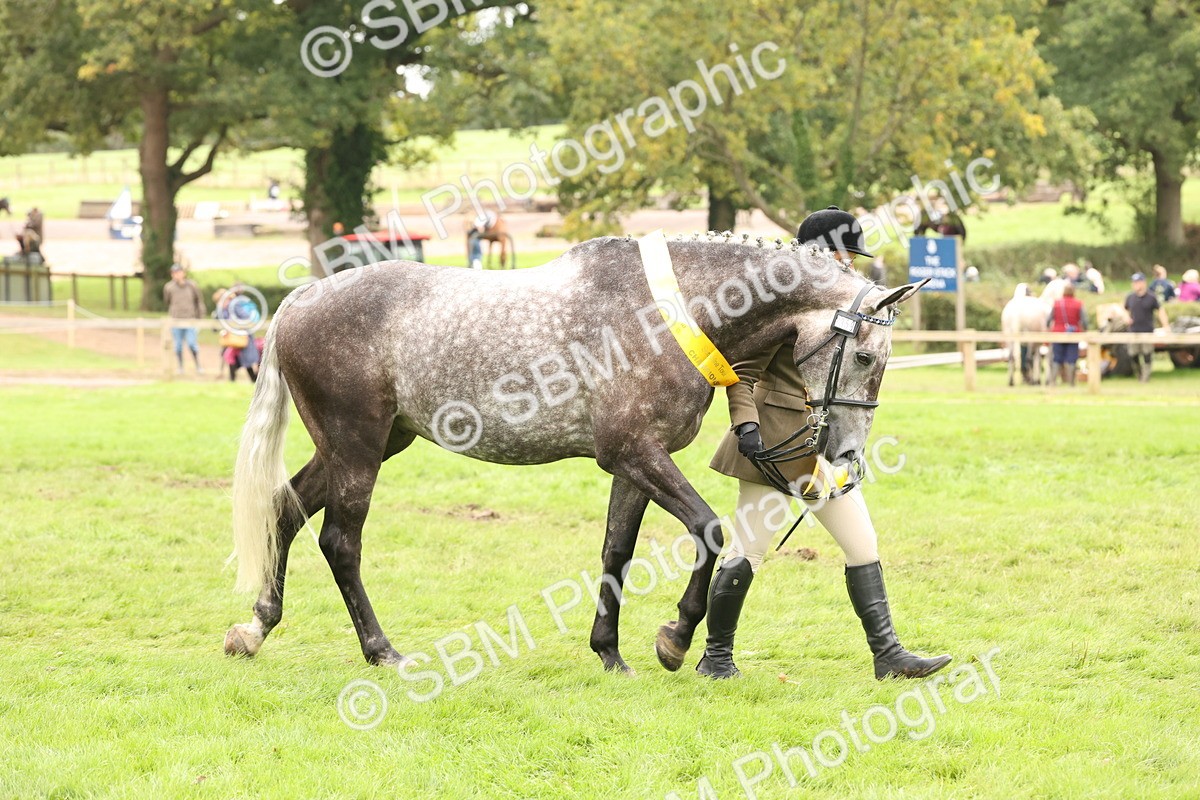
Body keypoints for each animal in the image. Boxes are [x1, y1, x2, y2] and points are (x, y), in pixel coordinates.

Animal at [224, 233, 923, 673]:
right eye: (866, 357)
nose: (847, 457)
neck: (670, 310)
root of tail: (303, 297)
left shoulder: (635, 465)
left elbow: (617, 549)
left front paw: (609, 651)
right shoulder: (635, 453)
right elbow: (708, 529)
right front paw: (674, 639)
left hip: (366, 444)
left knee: (284, 512)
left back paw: (254, 629)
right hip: (358, 447)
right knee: (339, 541)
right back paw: (382, 650)